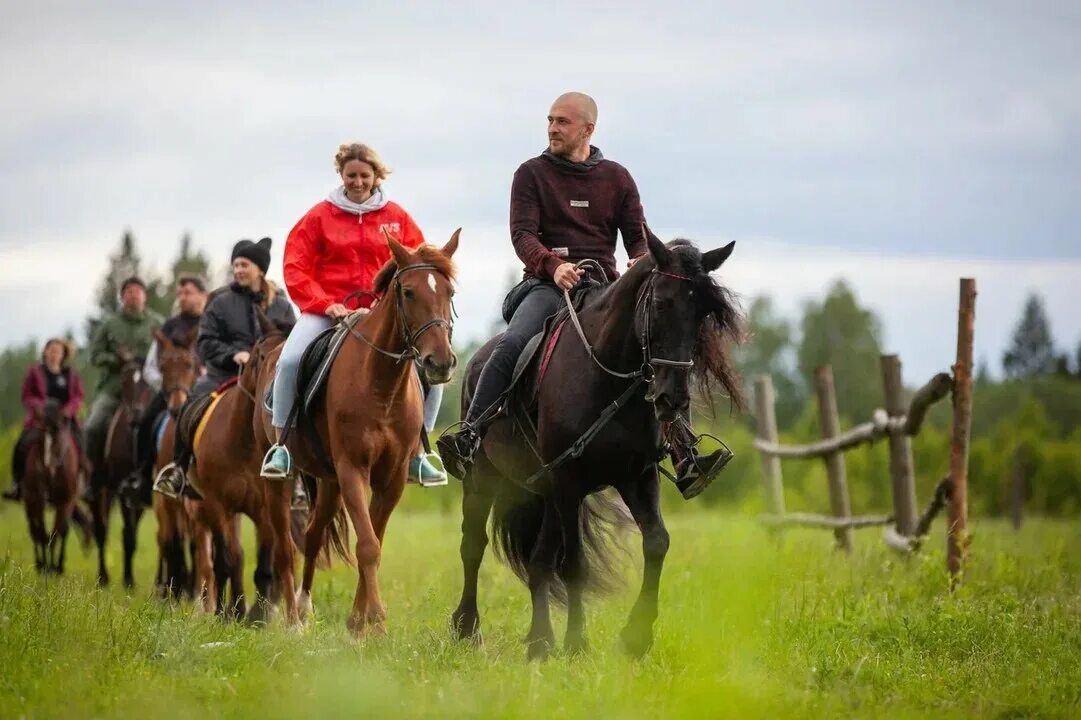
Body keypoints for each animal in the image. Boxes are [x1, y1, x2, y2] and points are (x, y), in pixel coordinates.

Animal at [258, 230, 460, 635]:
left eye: (449, 292)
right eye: (408, 292)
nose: (440, 362)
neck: (380, 385)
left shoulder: (391, 478)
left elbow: (375, 540)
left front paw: (358, 623)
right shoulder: (353, 470)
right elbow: (366, 545)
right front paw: (376, 623)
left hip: (329, 482)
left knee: (312, 534)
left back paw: (304, 607)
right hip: (282, 482)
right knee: (285, 548)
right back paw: (292, 621)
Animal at [451, 230, 748, 657]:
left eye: (704, 312)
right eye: (661, 303)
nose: (672, 399)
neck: (606, 374)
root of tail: (477, 360)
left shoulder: (636, 477)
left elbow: (657, 542)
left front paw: (635, 638)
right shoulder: (568, 481)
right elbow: (574, 563)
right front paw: (577, 643)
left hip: (544, 493)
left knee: (539, 561)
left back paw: (539, 641)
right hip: (484, 479)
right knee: (473, 545)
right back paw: (467, 628)